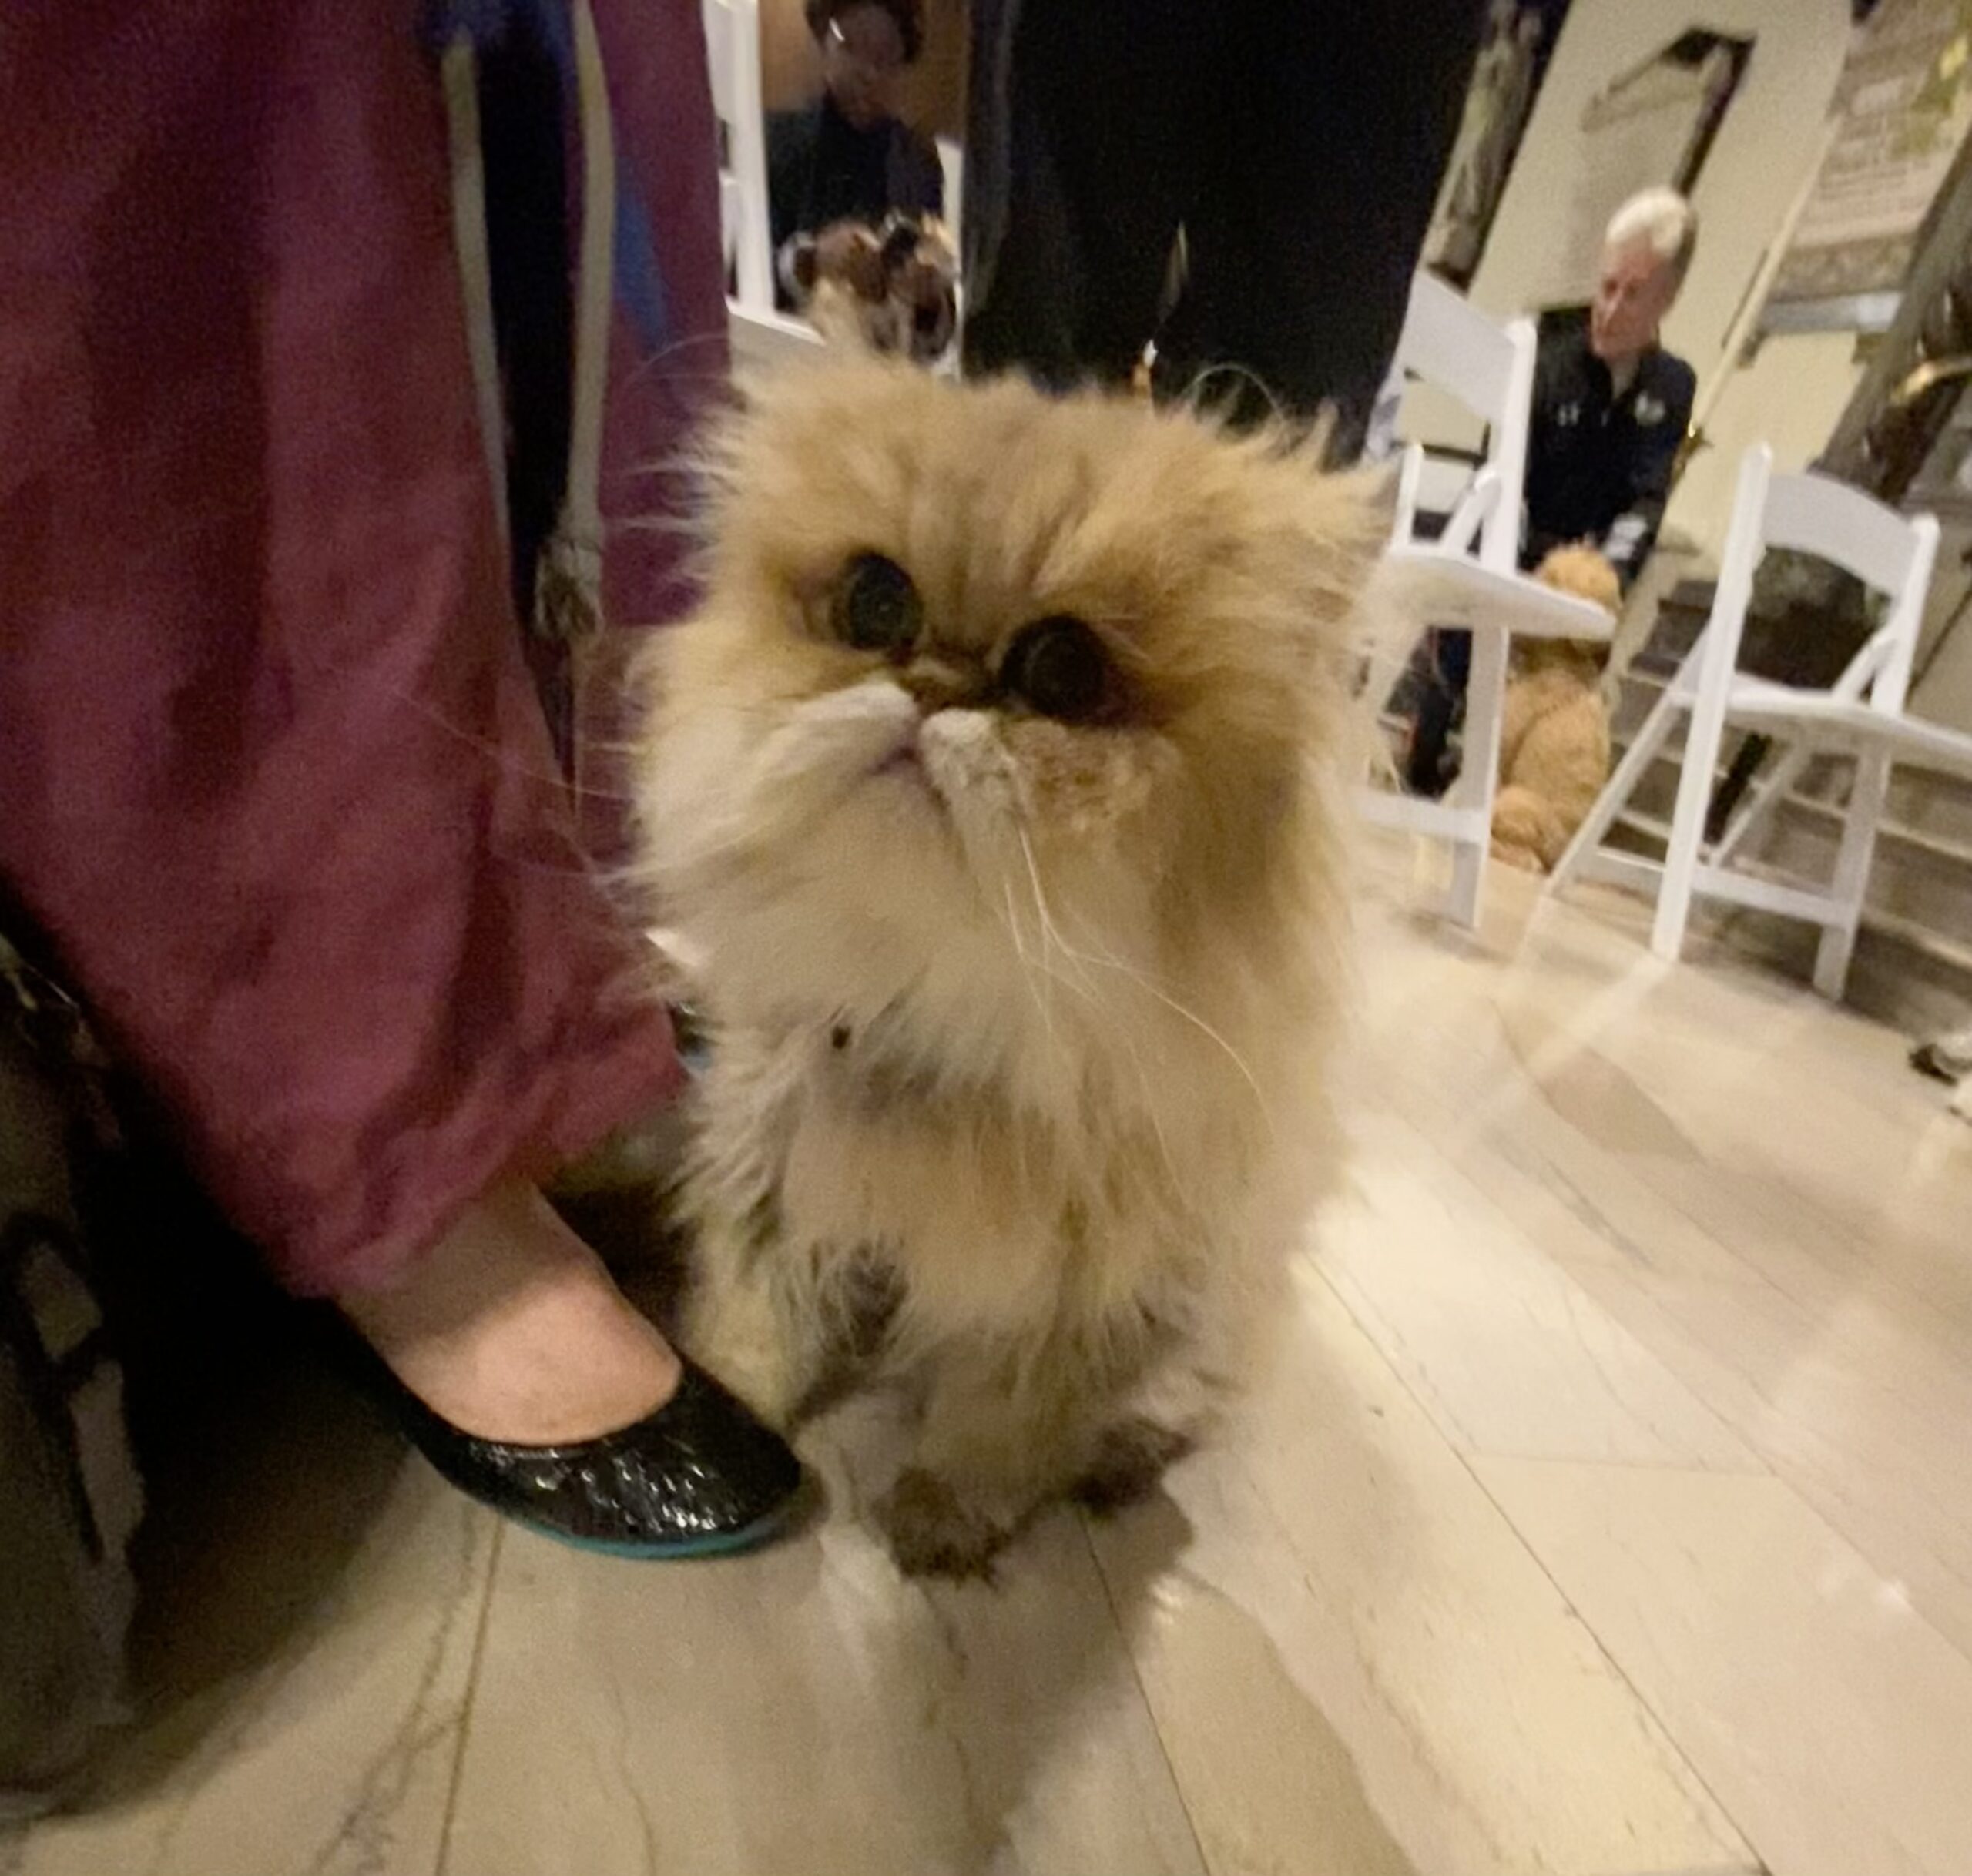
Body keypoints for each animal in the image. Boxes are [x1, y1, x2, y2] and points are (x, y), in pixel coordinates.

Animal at [639, 362, 1380, 1568]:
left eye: (1063, 669)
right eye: (876, 604)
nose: (936, 686)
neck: (937, 1012)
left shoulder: (1070, 1300)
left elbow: (996, 1426)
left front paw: (942, 1517)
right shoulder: (772, 1185)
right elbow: (752, 1334)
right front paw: (728, 1426)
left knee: (1182, 1397)